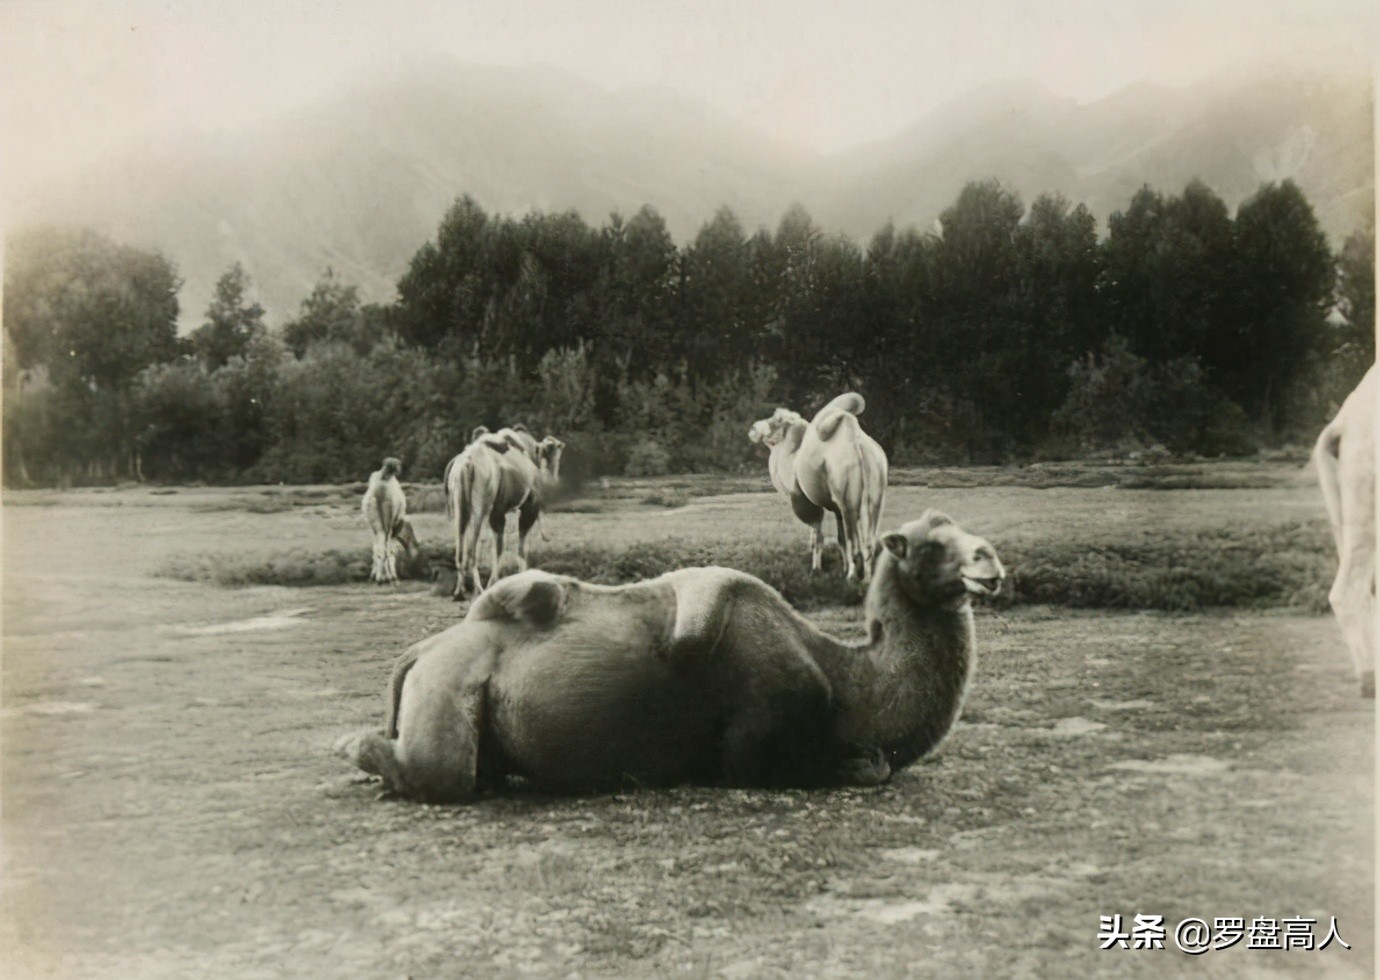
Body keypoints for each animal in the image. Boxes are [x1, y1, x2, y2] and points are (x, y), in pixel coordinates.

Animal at [333, 510, 1004, 800]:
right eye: (930, 545)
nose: (990, 559)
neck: (846, 680)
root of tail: (422, 648)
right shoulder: (755, 740)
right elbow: (861, 768)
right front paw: (858, 764)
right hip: (448, 685)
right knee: (438, 771)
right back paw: (353, 748)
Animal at [361, 458, 414, 588]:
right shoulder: (395, 523)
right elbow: (391, 549)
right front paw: (388, 577)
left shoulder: (375, 528)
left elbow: (376, 548)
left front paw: (376, 576)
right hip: (389, 525)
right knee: (387, 548)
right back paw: (390, 578)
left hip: (378, 523)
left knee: (380, 547)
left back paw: (378, 579)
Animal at [447, 427, 565, 599]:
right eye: (555, 449)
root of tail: (467, 464)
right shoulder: (524, 507)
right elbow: (515, 550)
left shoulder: (499, 511)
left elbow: (499, 547)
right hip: (481, 505)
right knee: (473, 546)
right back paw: (477, 590)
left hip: (460, 502)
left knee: (461, 542)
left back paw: (459, 591)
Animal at [750, 394, 888, 582]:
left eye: (778, 420)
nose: (754, 428)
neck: (791, 458)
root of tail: (859, 449)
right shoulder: (836, 508)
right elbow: (840, 539)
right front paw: (842, 568)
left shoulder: (803, 499)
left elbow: (818, 537)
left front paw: (816, 570)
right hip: (876, 495)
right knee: (868, 538)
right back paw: (867, 577)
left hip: (848, 498)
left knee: (853, 536)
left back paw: (852, 576)